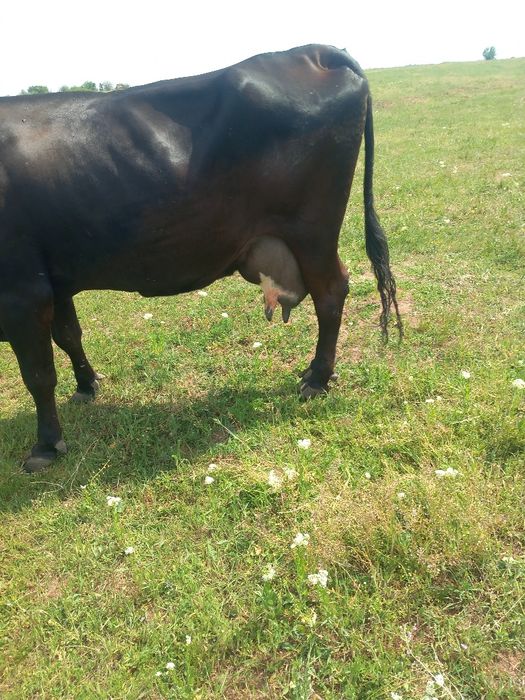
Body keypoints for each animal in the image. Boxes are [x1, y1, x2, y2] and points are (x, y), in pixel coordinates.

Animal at [0, 44, 401, 472]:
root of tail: (310, 52)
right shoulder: (53, 280)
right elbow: (69, 336)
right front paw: (87, 385)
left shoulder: (21, 292)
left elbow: (38, 374)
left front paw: (45, 444)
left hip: (312, 233)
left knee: (331, 294)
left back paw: (317, 379)